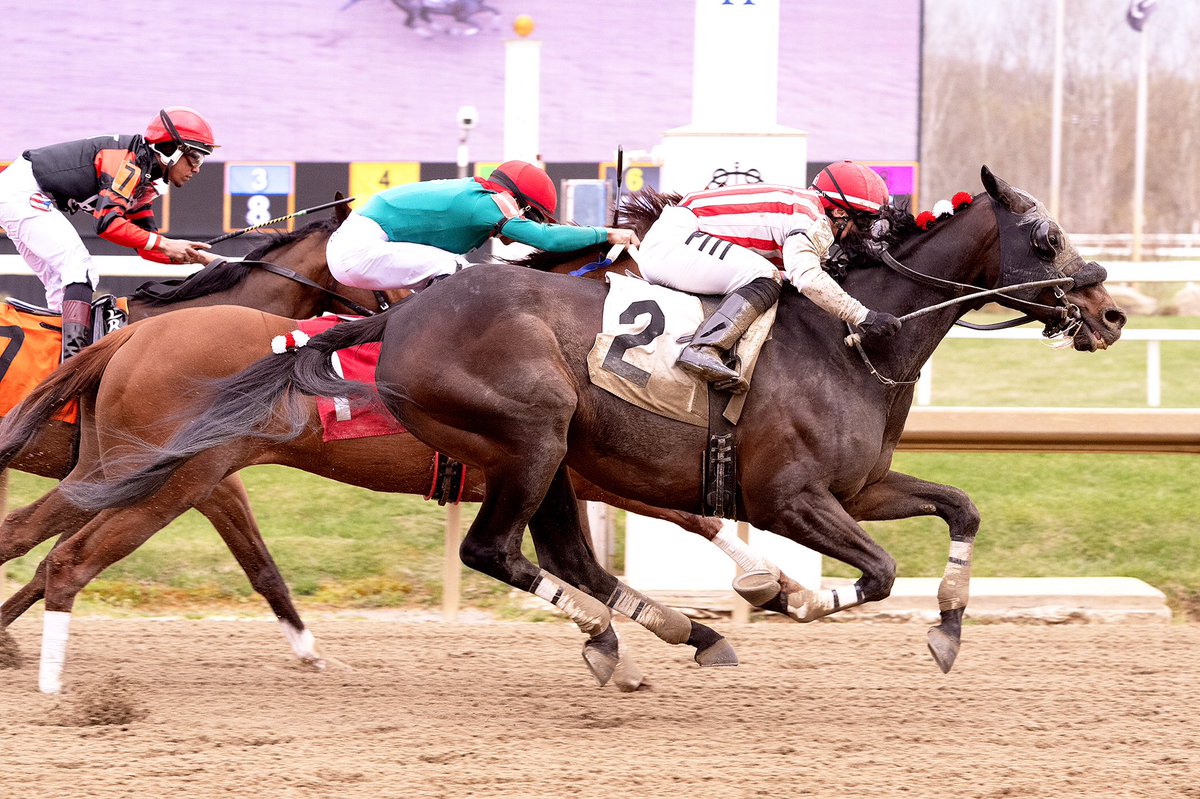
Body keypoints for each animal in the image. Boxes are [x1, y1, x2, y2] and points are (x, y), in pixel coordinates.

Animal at [65, 163, 1123, 686]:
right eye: (1042, 237)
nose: (1109, 311)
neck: (850, 340)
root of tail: (395, 318)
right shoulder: (792, 495)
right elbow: (873, 571)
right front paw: (792, 597)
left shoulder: (858, 487)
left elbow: (962, 508)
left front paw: (948, 629)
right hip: (531, 435)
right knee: (496, 552)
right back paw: (624, 636)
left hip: (550, 458)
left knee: (557, 556)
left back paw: (658, 636)